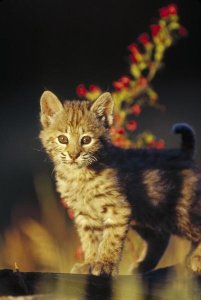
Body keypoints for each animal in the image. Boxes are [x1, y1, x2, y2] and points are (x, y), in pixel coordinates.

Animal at [38, 90, 201, 276]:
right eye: (62, 139)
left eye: (86, 140)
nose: (73, 155)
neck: (79, 174)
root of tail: (183, 153)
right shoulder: (84, 214)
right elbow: (90, 240)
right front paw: (90, 263)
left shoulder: (118, 208)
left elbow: (111, 239)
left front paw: (104, 264)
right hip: (147, 214)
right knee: (160, 238)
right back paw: (142, 266)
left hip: (182, 212)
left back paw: (196, 259)